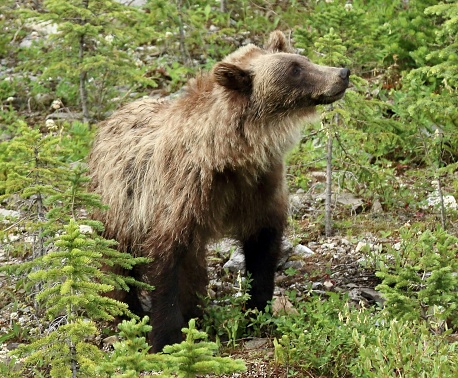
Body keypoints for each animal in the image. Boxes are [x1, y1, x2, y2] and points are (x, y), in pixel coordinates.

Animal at [87, 31, 348, 352]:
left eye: (303, 60)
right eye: (295, 70)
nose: (342, 73)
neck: (228, 157)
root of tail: (109, 118)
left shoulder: (260, 186)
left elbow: (262, 249)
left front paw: (257, 312)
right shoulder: (180, 192)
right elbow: (166, 263)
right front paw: (166, 337)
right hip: (119, 202)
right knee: (119, 259)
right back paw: (128, 309)